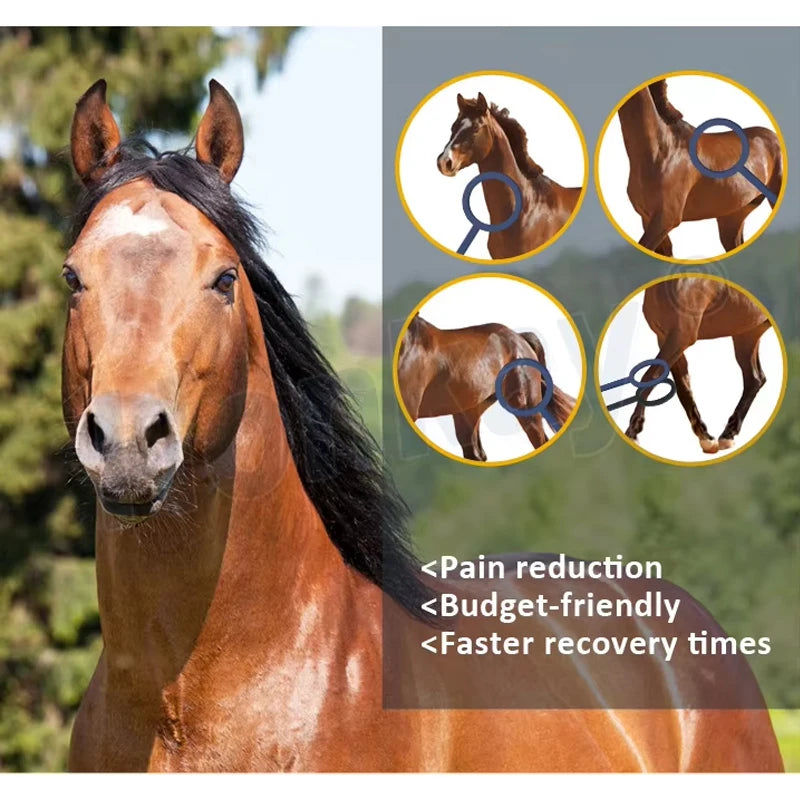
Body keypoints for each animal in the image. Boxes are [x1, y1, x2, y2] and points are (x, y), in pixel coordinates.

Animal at [624, 277, 773, 454]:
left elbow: (650, 377)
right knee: (755, 379)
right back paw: (728, 435)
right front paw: (705, 437)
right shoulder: (666, 338)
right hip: (747, 335)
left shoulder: (681, 337)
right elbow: (684, 388)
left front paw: (633, 431)